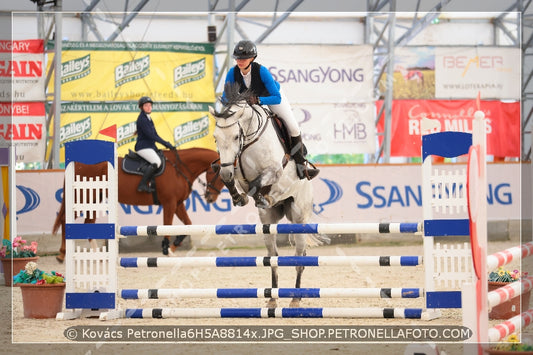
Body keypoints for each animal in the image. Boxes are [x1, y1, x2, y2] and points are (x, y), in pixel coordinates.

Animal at [51, 147, 222, 262]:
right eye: (219, 173)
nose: (210, 198)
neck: (179, 168)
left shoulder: (178, 203)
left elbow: (188, 225)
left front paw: (173, 248)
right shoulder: (170, 203)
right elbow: (167, 226)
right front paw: (166, 249)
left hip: (93, 199)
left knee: (88, 222)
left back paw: (97, 255)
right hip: (83, 198)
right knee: (65, 220)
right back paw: (61, 254)